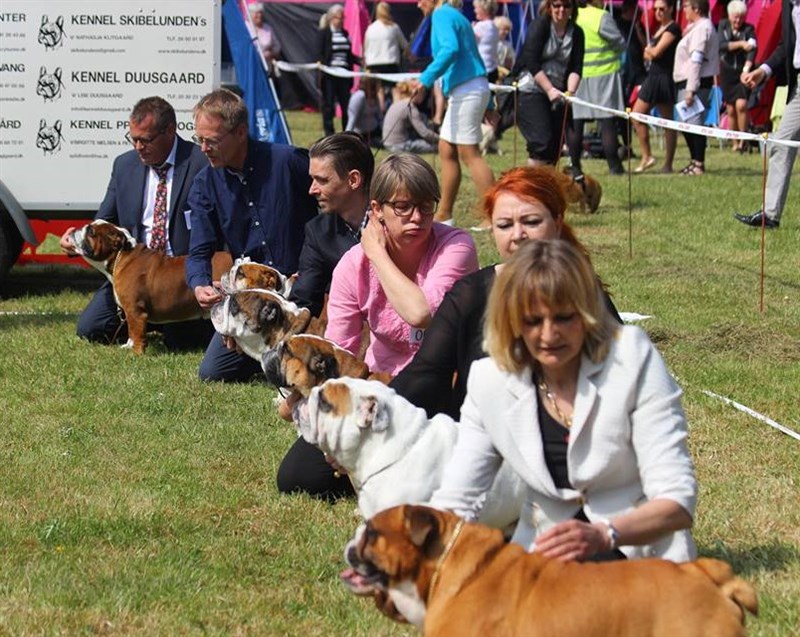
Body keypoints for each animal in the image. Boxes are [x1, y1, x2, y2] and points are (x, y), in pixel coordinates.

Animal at [70, 220, 233, 356]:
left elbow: (137, 332)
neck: (121, 256)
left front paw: (136, 353)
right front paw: (128, 345)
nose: (75, 229)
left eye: (91, 232)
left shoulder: (135, 311)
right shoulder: (129, 312)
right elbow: (131, 330)